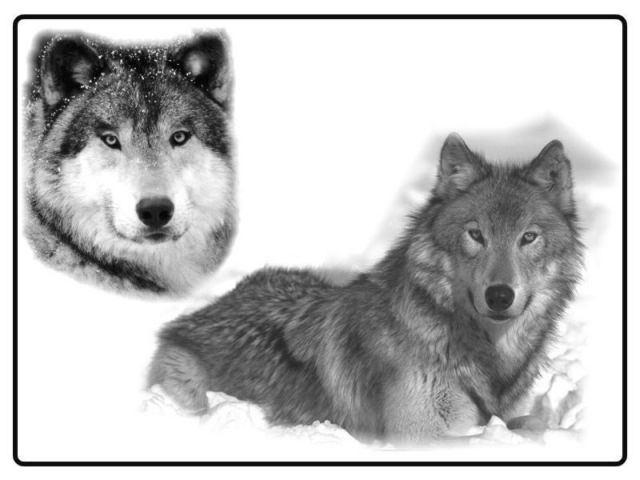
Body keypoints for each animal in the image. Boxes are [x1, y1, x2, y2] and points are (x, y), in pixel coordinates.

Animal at [149, 134, 583, 444]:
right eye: (476, 235)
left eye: (528, 237)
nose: (500, 296)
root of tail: (195, 314)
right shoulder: (421, 436)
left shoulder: (504, 416)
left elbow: (536, 425)